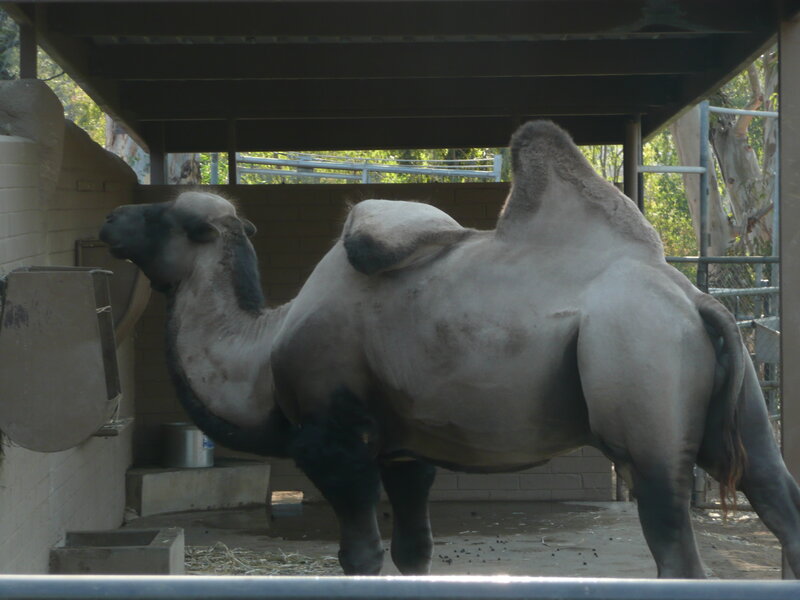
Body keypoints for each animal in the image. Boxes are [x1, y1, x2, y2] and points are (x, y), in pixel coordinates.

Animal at [100, 121, 800, 579]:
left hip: (644, 379)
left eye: (163, 217)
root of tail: (696, 300)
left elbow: (359, 556)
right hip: (735, 406)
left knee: (675, 543)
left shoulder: (331, 441)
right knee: (776, 493)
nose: (109, 220)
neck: (261, 355)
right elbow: (414, 552)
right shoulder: (407, 450)